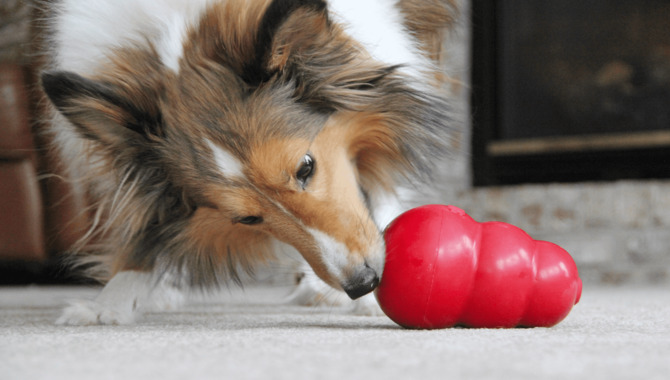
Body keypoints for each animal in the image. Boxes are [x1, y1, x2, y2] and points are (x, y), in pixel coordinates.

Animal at [39, 0, 460, 326]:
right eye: (247, 218)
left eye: (306, 168)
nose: (363, 283)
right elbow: (150, 225)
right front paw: (112, 299)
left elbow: (379, 187)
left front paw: (367, 301)